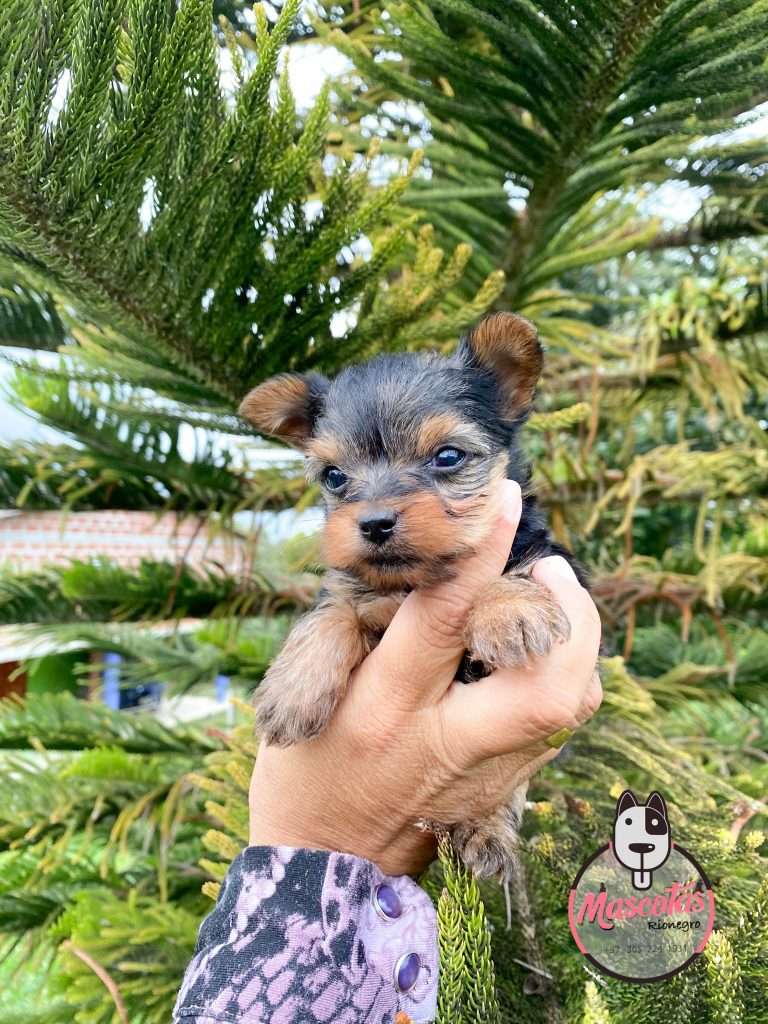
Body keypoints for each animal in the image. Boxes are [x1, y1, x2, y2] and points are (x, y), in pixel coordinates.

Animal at [240, 313, 581, 880]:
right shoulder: (349, 587)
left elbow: (515, 568)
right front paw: (293, 690)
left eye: (448, 457)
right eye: (334, 476)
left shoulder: (550, 558)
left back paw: (487, 832)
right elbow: (330, 613)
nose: (374, 522)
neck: (411, 584)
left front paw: (508, 609)